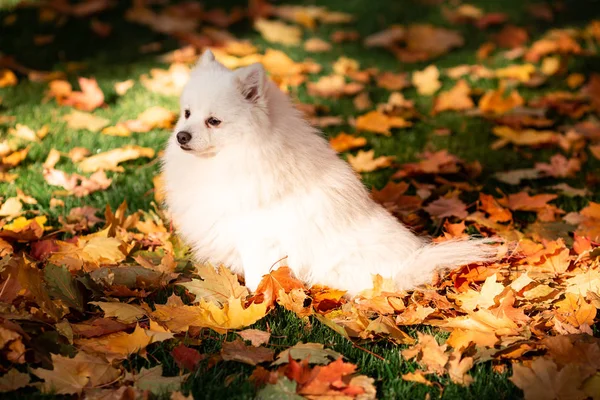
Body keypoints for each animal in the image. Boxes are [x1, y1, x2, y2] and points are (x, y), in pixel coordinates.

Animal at [163, 50, 496, 296]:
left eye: (214, 121)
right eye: (187, 113)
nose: (181, 136)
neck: (235, 156)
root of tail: (408, 265)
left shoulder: (258, 237)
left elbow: (257, 275)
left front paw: (255, 300)